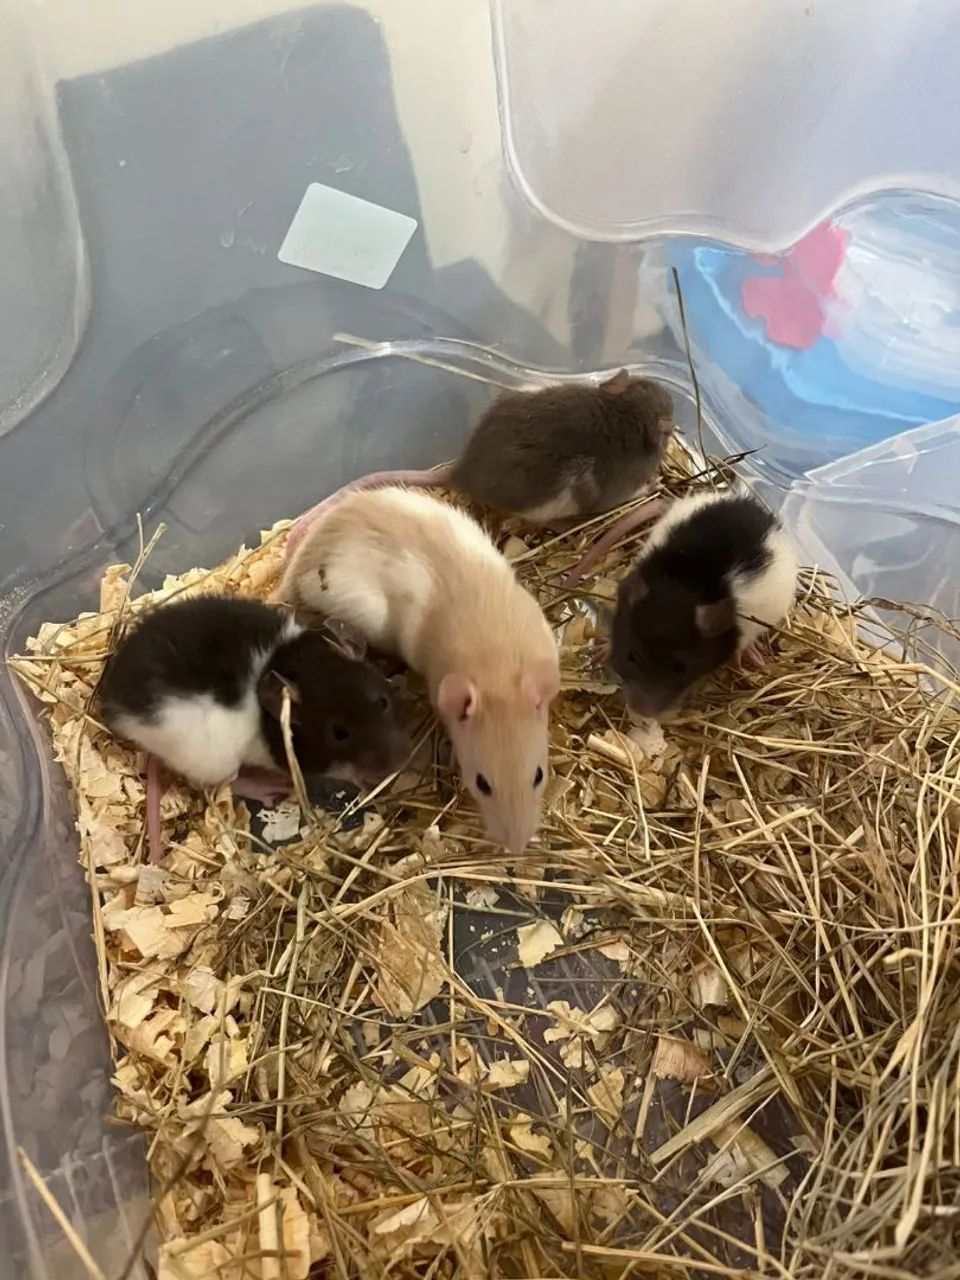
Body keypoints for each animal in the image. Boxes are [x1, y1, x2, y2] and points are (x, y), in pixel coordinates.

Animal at [100, 595, 409, 862]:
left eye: (383, 702)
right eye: (339, 732)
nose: (399, 763)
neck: (295, 662)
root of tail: (119, 711)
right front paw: (363, 780)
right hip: (213, 759)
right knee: (223, 783)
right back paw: (269, 786)